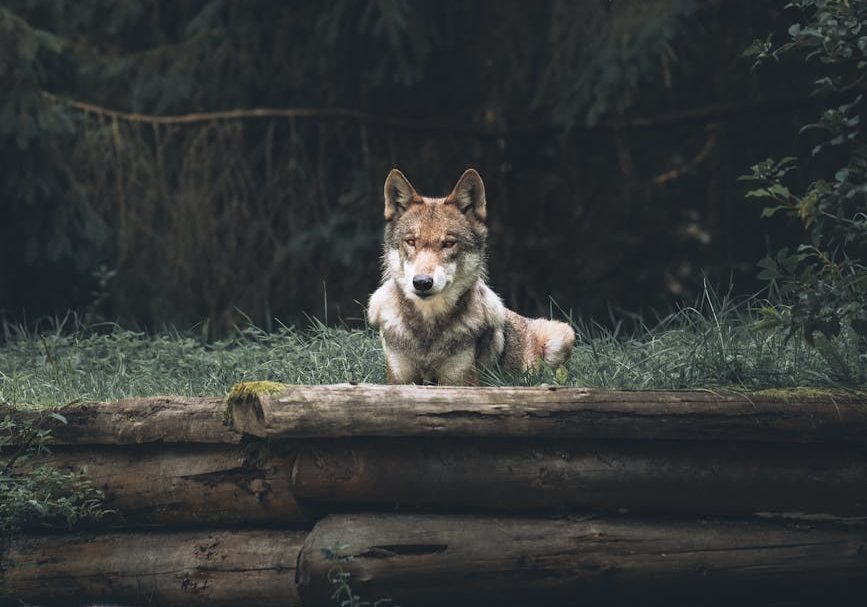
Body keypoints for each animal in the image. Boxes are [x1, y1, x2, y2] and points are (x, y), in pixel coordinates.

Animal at [367, 168, 575, 385]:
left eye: (449, 244)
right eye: (411, 242)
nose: (422, 282)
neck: (428, 332)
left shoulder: (460, 381)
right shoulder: (399, 379)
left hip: (562, 333)